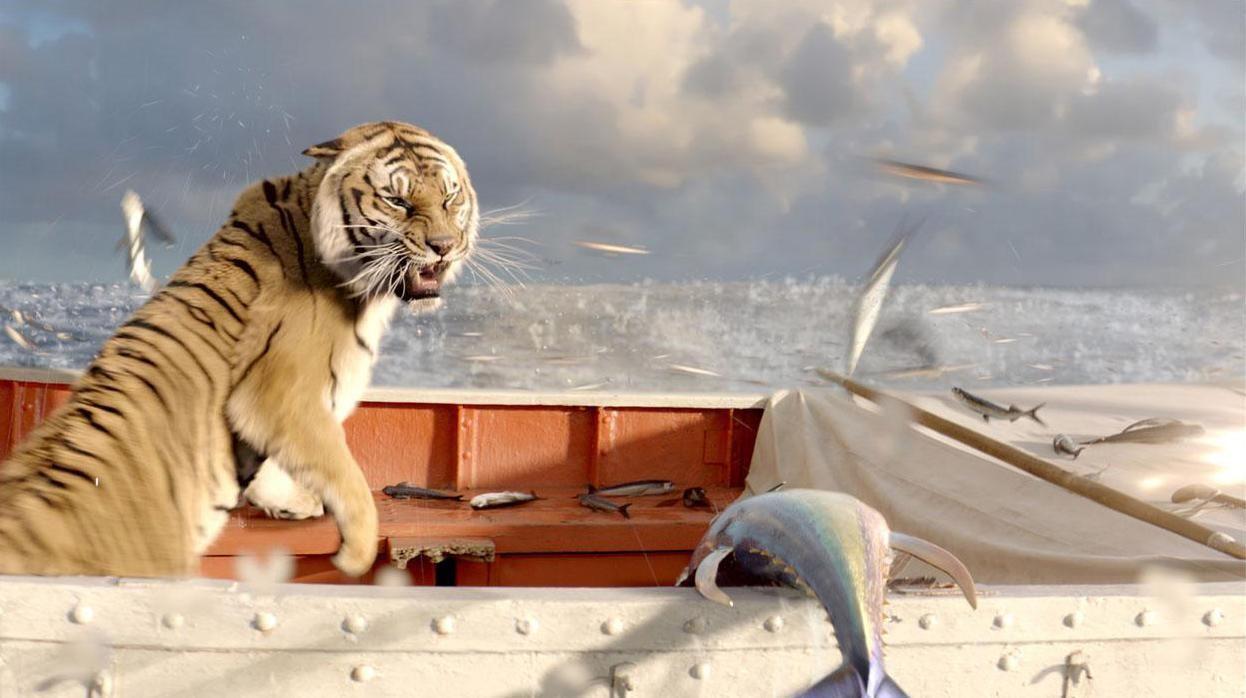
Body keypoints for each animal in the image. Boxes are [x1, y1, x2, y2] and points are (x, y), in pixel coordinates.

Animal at [0, 121, 478, 577]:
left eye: (450, 197)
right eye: (398, 201)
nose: (443, 246)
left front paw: (291, 502)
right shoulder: (279, 396)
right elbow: (344, 471)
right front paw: (356, 554)